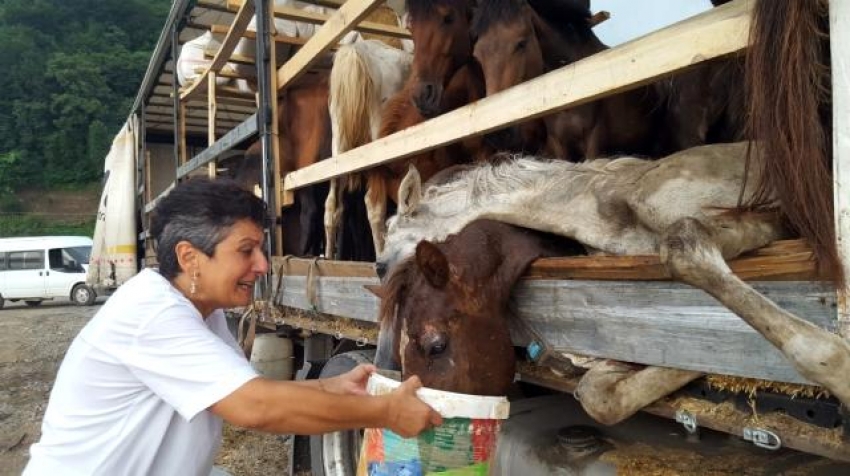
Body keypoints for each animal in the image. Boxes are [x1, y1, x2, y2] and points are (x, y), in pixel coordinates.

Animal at [372, 140, 850, 424]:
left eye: (380, 265)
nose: (383, 361)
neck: (604, 207)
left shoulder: (773, 219)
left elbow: (684, 249)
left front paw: (837, 366)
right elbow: (601, 388)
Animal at [470, 0, 664, 161]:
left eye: (521, 43)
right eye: (478, 56)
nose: (497, 132)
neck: (567, 88)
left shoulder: (594, 140)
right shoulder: (559, 143)